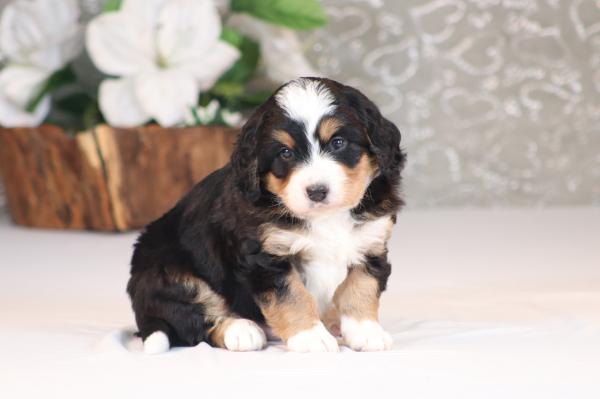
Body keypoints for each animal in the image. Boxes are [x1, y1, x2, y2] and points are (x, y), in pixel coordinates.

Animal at [128, 77, 406, 354]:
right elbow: (292, 296)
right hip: (167, 273)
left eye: (338, 143)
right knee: (194, 318)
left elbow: (361, 286)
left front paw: (366, 331)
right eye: (285, 152)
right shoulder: (265, 257)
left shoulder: (371, 243)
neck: (326, 218)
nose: (317, 191)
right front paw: (310, 337)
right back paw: (241, 330)